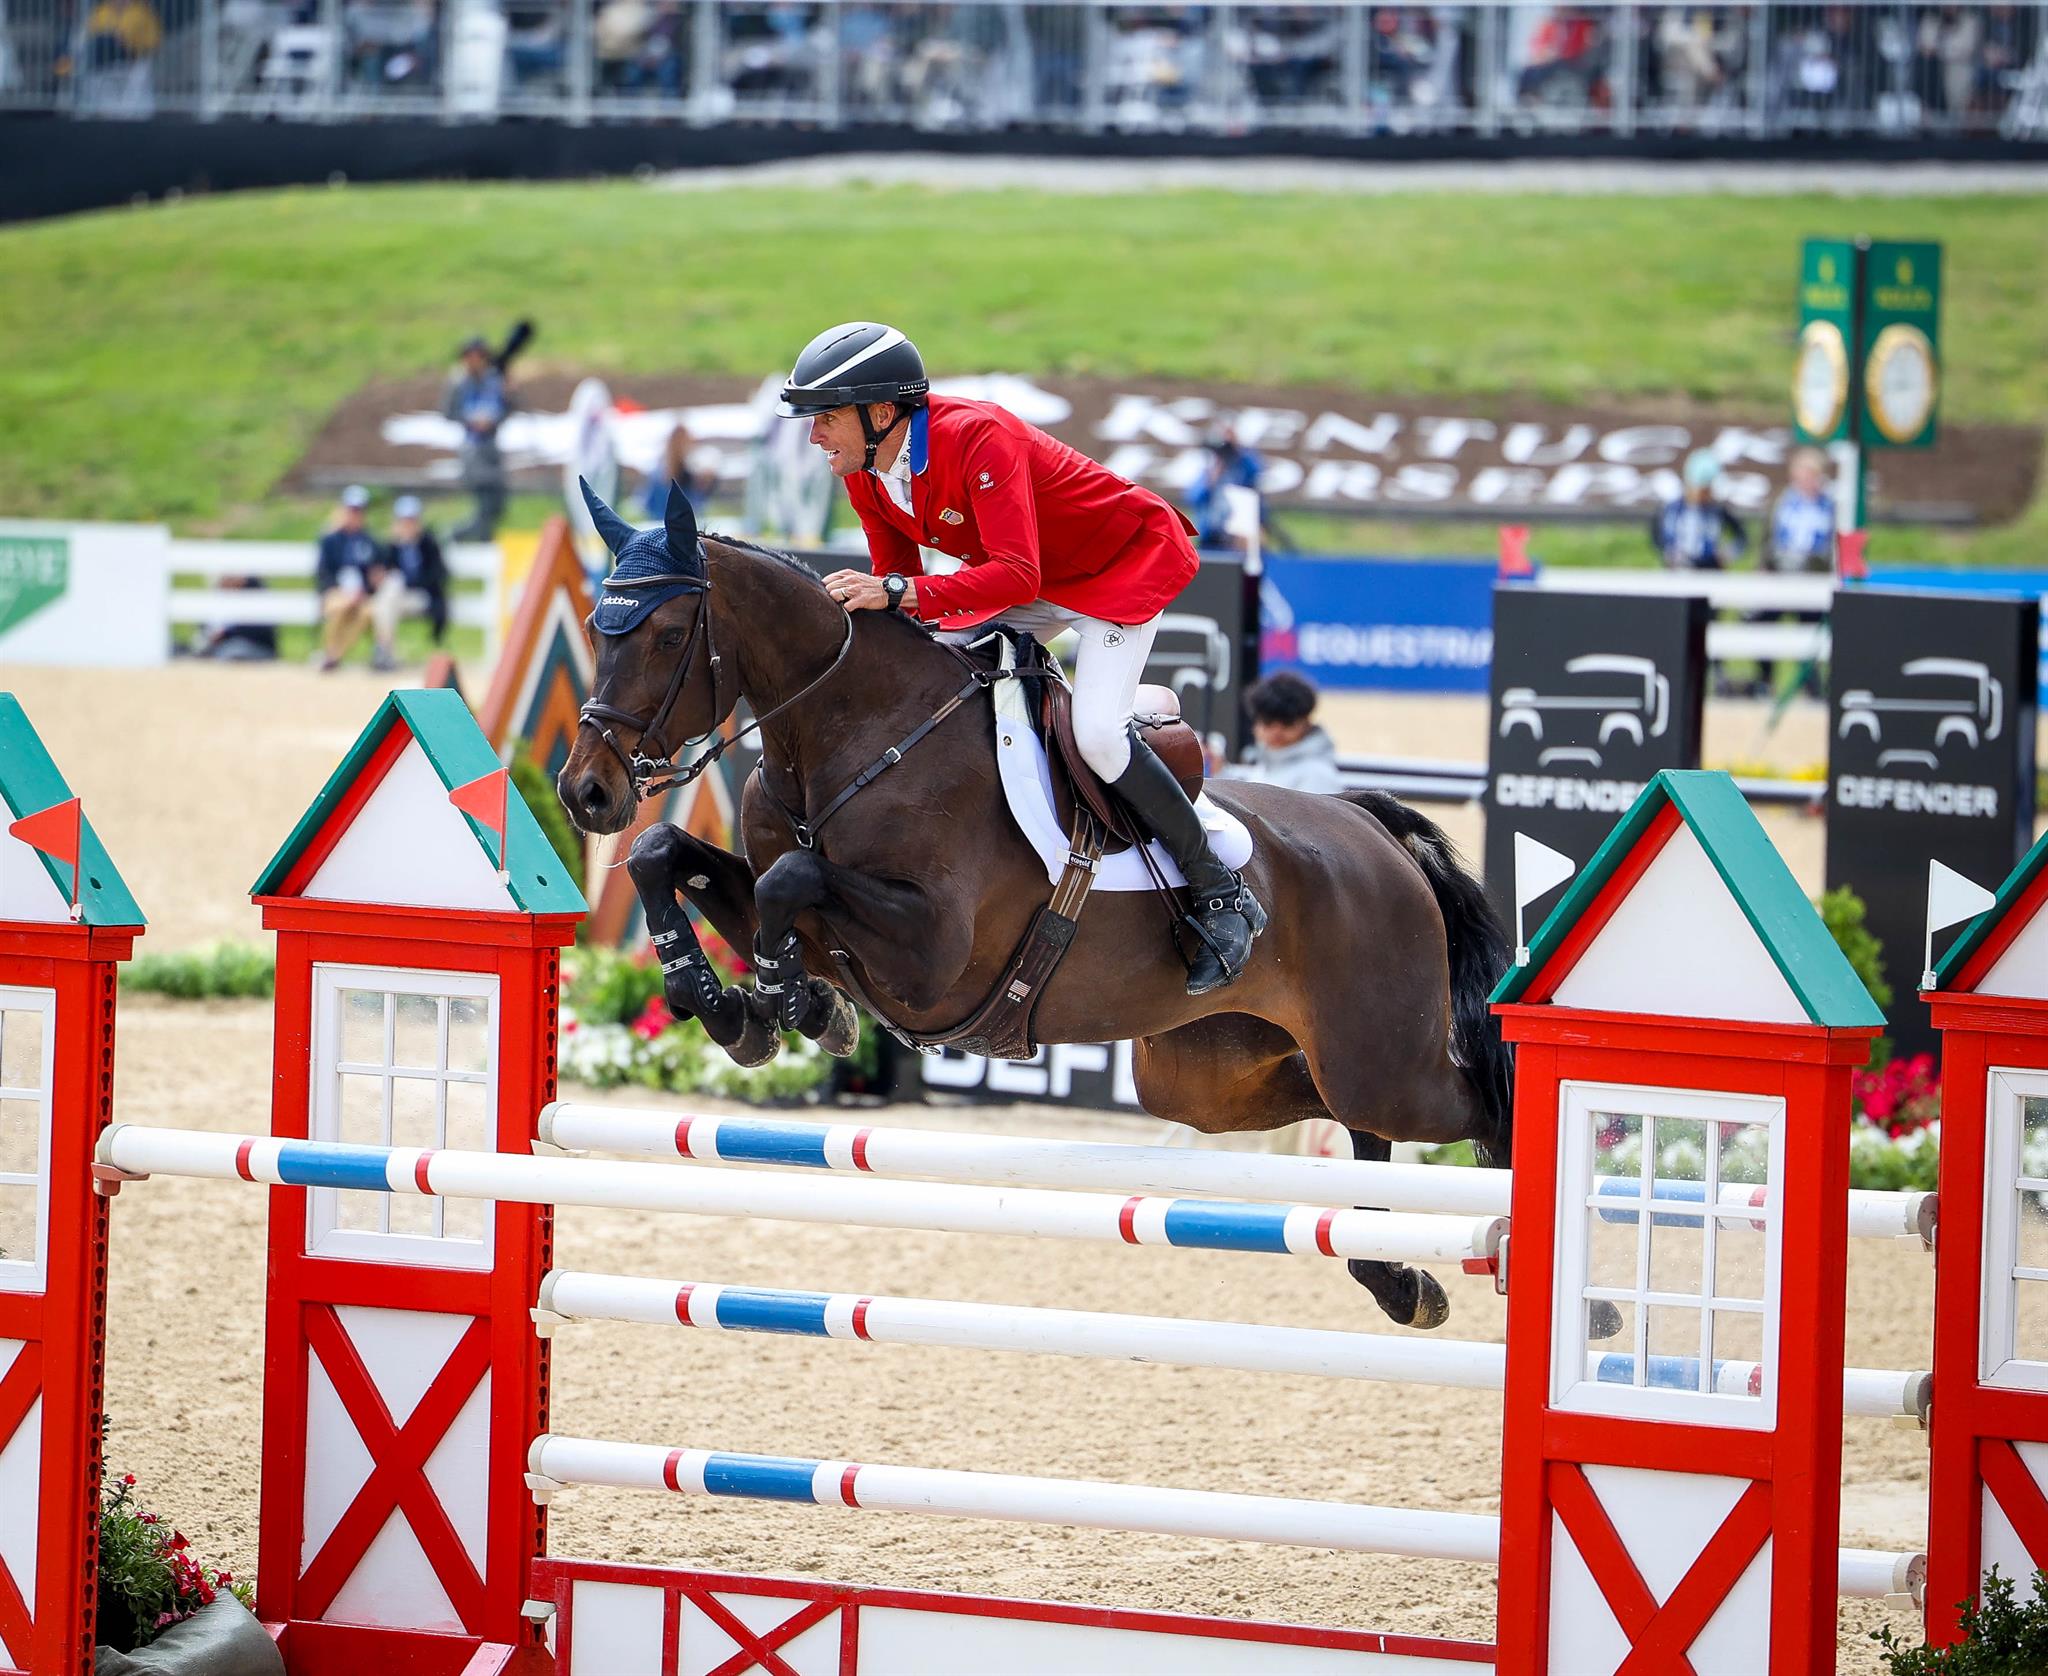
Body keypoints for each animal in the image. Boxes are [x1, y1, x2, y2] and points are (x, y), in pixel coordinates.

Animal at [561, 483, 1523, 1335]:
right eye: (598, 632)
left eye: (668, 634)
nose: (586, 794)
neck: (856, 733)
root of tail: (1371, 827)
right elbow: (668, 856)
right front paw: (734, 1006)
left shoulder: (932, 957)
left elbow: (789, 880)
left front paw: (787, 1001)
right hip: (1213, 1075)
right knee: (1342, 1123)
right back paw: (1398, 1280)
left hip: (1383, 1059)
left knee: (1473, 1108)